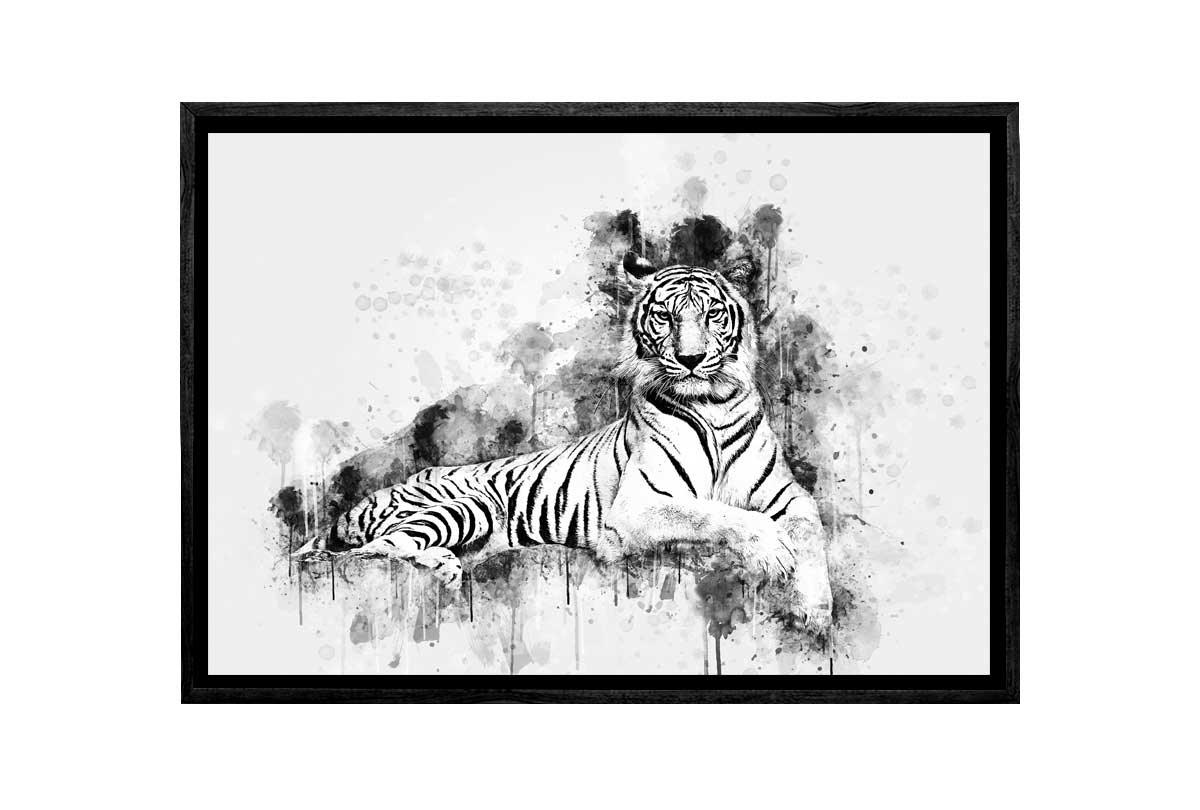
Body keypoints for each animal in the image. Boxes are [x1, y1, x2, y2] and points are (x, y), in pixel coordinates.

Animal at [296, 255, 834, 631]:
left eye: (713, 314)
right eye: (664, 316)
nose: (691, 359)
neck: (713, 402)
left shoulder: (790, 497)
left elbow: (810, 535)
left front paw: (817, 614)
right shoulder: (640, 506)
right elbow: (715, 514)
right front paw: (771, 552)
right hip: (465, 504)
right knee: (377, 550)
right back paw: (444, 567)